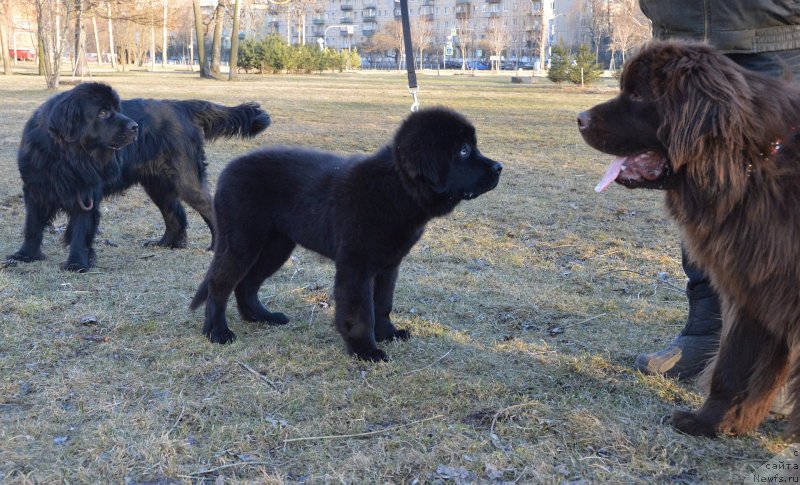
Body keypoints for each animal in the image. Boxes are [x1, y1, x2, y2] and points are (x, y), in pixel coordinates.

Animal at [7, 81, 272, 270]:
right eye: (103, 113)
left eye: (117, 109)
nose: (135, 127)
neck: (66, 155)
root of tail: (181, 106)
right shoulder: (35, 189)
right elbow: (32, 225)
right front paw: (25, 255)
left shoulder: (87, 192)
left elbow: (82, 229)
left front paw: (77, 264)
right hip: (157, 184)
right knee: (175, 213)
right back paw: (166, 244)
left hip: (186, 179)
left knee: (207, 209)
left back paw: (216, 248)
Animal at [191, 108, 504, 362]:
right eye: (463, 150)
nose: (499, 167)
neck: (396, 188)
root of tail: (229, 169)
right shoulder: (357, 264)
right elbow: (360, 311)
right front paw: (365, 350)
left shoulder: (389, 265)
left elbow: (383, 304)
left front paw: (388, 333)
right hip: (242, 241)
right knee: (220, 284)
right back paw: (217, 333)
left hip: (276, 246)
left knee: (246, 284)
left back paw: (262, 317)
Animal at [580, 39, 800, 436]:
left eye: (637, 95)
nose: (579, 118)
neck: (748, 163)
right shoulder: (755, 285)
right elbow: (734, 366)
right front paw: (712, 422)